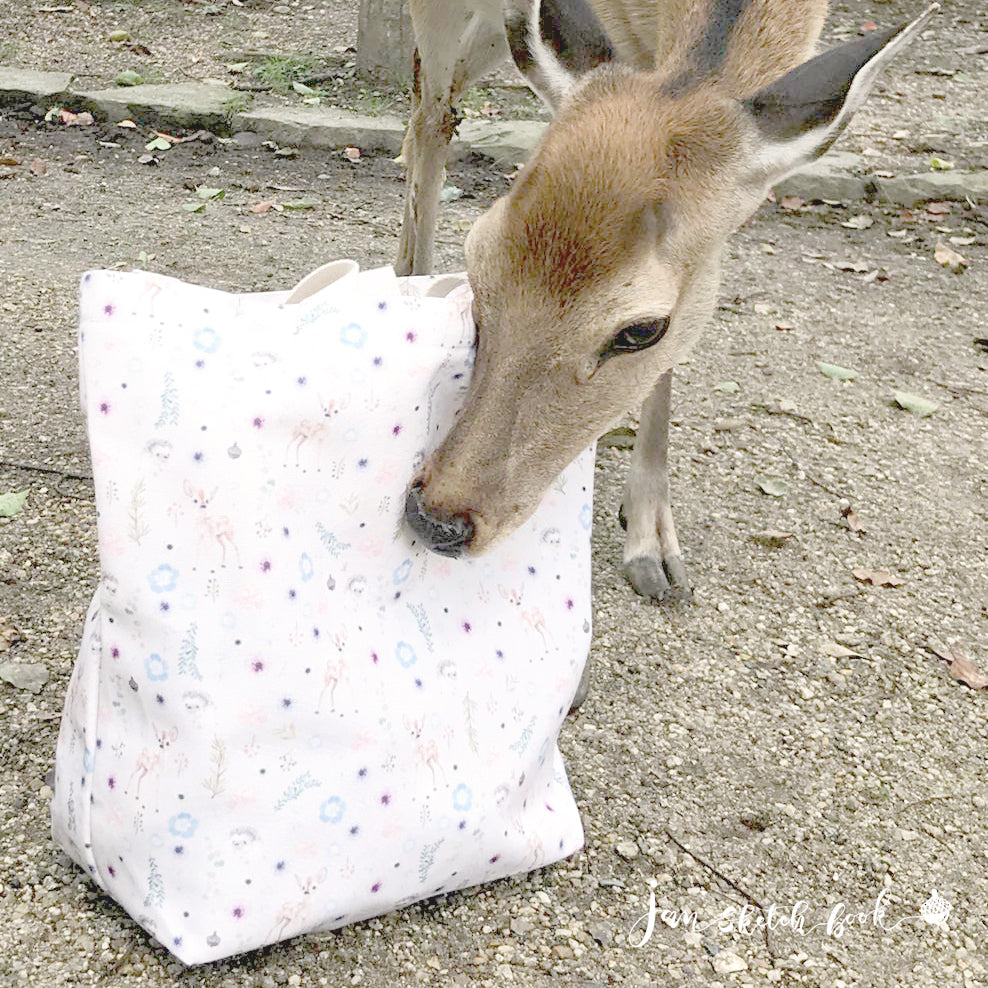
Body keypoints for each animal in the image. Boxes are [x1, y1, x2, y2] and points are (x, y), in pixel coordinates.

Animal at [400, 0, 932, 624]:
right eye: (476, 263)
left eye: (643, 330)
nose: (436, 519)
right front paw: (648, 548)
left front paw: (653, 543)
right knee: (430, 116)